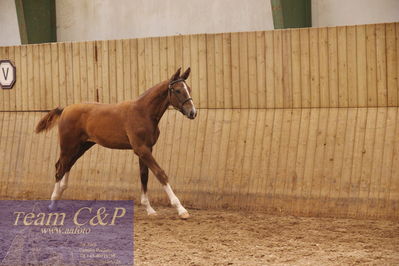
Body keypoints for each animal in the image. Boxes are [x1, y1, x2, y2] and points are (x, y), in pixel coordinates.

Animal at [35, 67, 198, 219]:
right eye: (177, 90)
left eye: (189, 89)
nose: (193, 113)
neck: (143, 112)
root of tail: (65, 109)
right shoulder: (141, 149)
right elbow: (160, 173)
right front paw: (181, 210)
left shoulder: (146, 149)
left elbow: (144, 175)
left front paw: (149, 209)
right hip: (68, 146)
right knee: (60, 167)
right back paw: (53, 203)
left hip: (82, 146)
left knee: (67, 165)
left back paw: (60, 193)